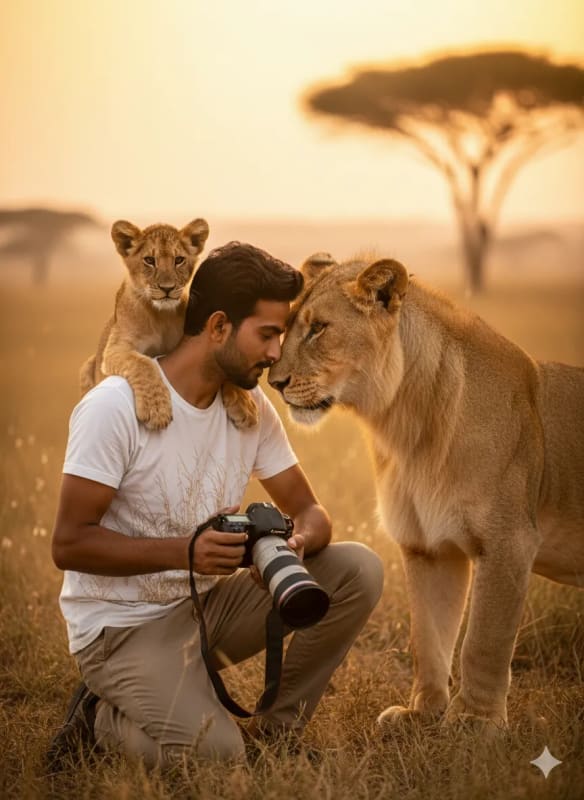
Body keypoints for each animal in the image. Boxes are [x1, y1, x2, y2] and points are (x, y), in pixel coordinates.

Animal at [80, 219, 258, 430]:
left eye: (178, 260)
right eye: (149, 260)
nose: (167, 288)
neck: (161, 317)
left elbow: (227, 368)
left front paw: (243, 404)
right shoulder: (116, 349)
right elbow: (144, 363)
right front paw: (156, 410)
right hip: (87, 367)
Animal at [268, 252, 584, 729]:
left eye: (319, 327)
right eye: (285, 325)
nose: (275, 382)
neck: (406, 426)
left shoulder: (509, 542)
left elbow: (483, 642)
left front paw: (474, 724)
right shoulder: (428, 545)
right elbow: (429, 636)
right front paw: (423, 713)